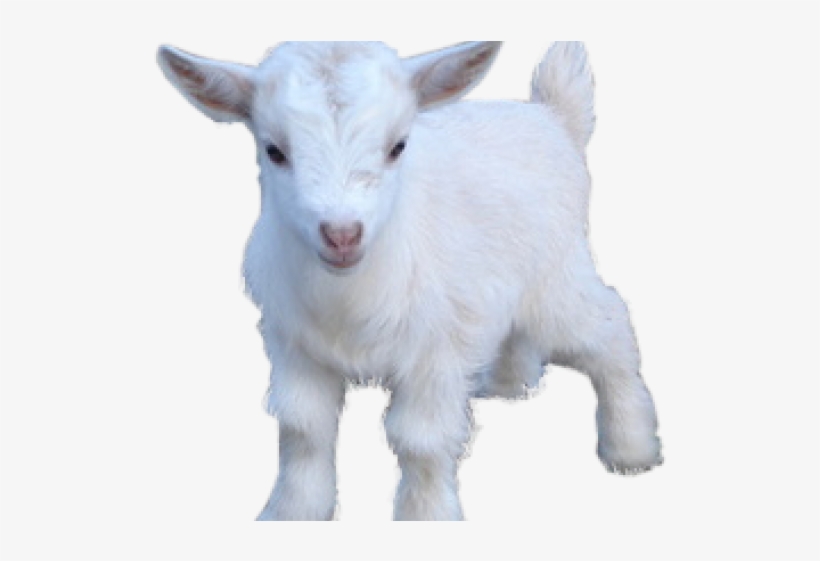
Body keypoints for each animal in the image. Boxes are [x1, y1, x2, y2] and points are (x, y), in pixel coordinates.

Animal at [157, 40, 663, 521]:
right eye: (274, 150)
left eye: (398, 146)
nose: (342, 235)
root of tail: (553, 116)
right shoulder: (295, 344)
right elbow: (303, 428)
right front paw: (292, 513)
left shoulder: (436, 349)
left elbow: (420, 440)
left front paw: (425, 517)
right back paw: (508, 384)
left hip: (557, 275)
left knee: (609, 326)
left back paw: (630, 447)